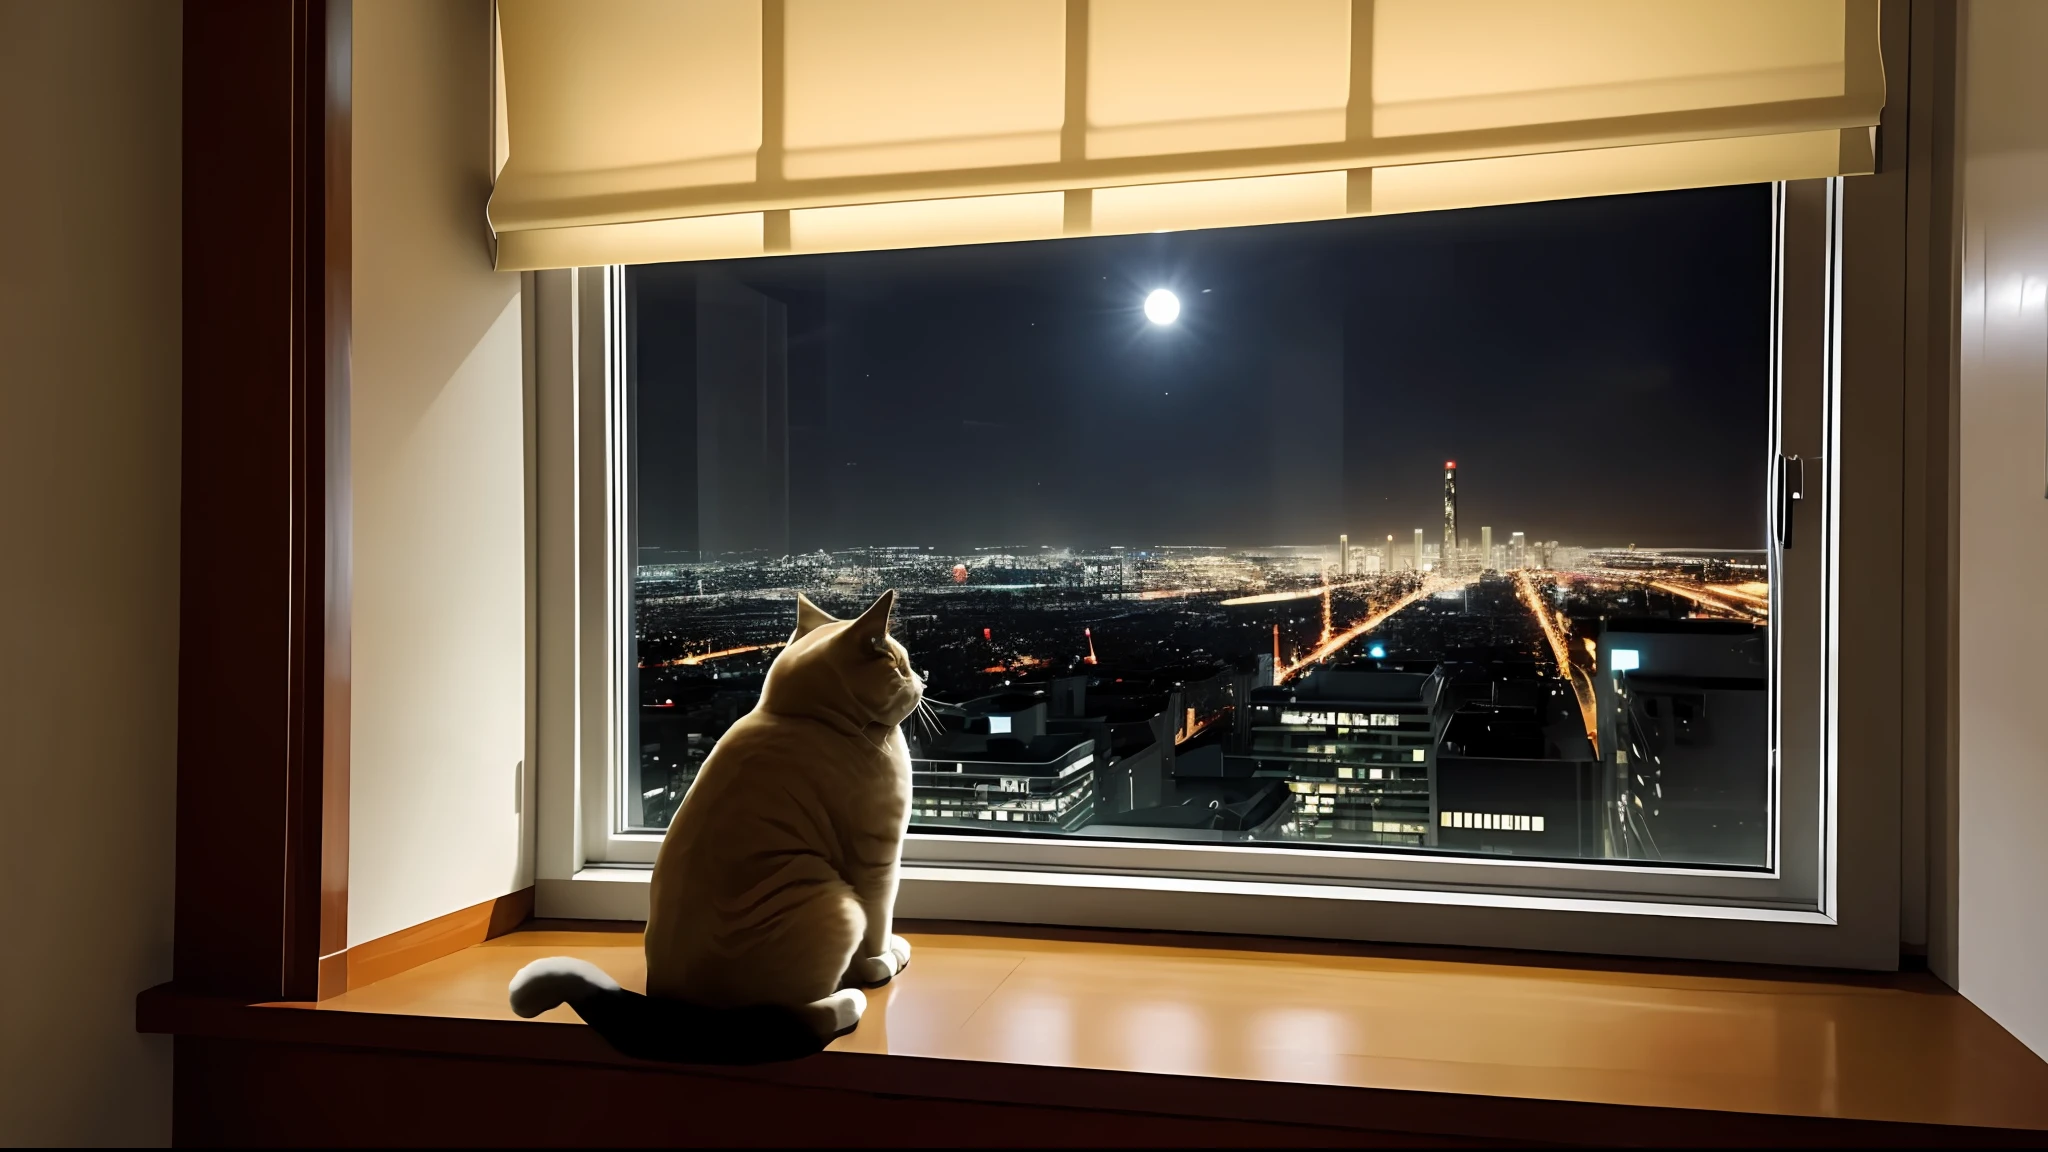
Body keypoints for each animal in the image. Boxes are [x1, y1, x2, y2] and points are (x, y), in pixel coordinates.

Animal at [507, 586, 925, 1065]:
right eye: (901, 664)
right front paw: (881, 961)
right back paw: (847, 1001)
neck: (799, 715)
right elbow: (880, 919)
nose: (924, 680)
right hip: (835, 902)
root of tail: (677, 1017)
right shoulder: (878, 856)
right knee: (793, 1016)